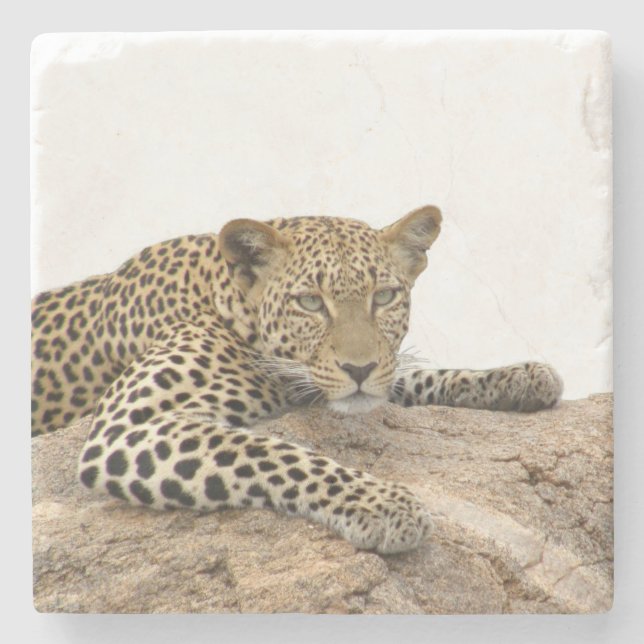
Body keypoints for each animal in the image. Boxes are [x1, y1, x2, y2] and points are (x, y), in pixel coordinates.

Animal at [31, 205, 563, 554]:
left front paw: (522, 376)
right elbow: (272, 453)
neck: (226, 299)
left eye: (384, 297)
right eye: (310, 302)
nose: (358, 368)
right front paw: (386, 506)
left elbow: (411, 376)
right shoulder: (130, 426)